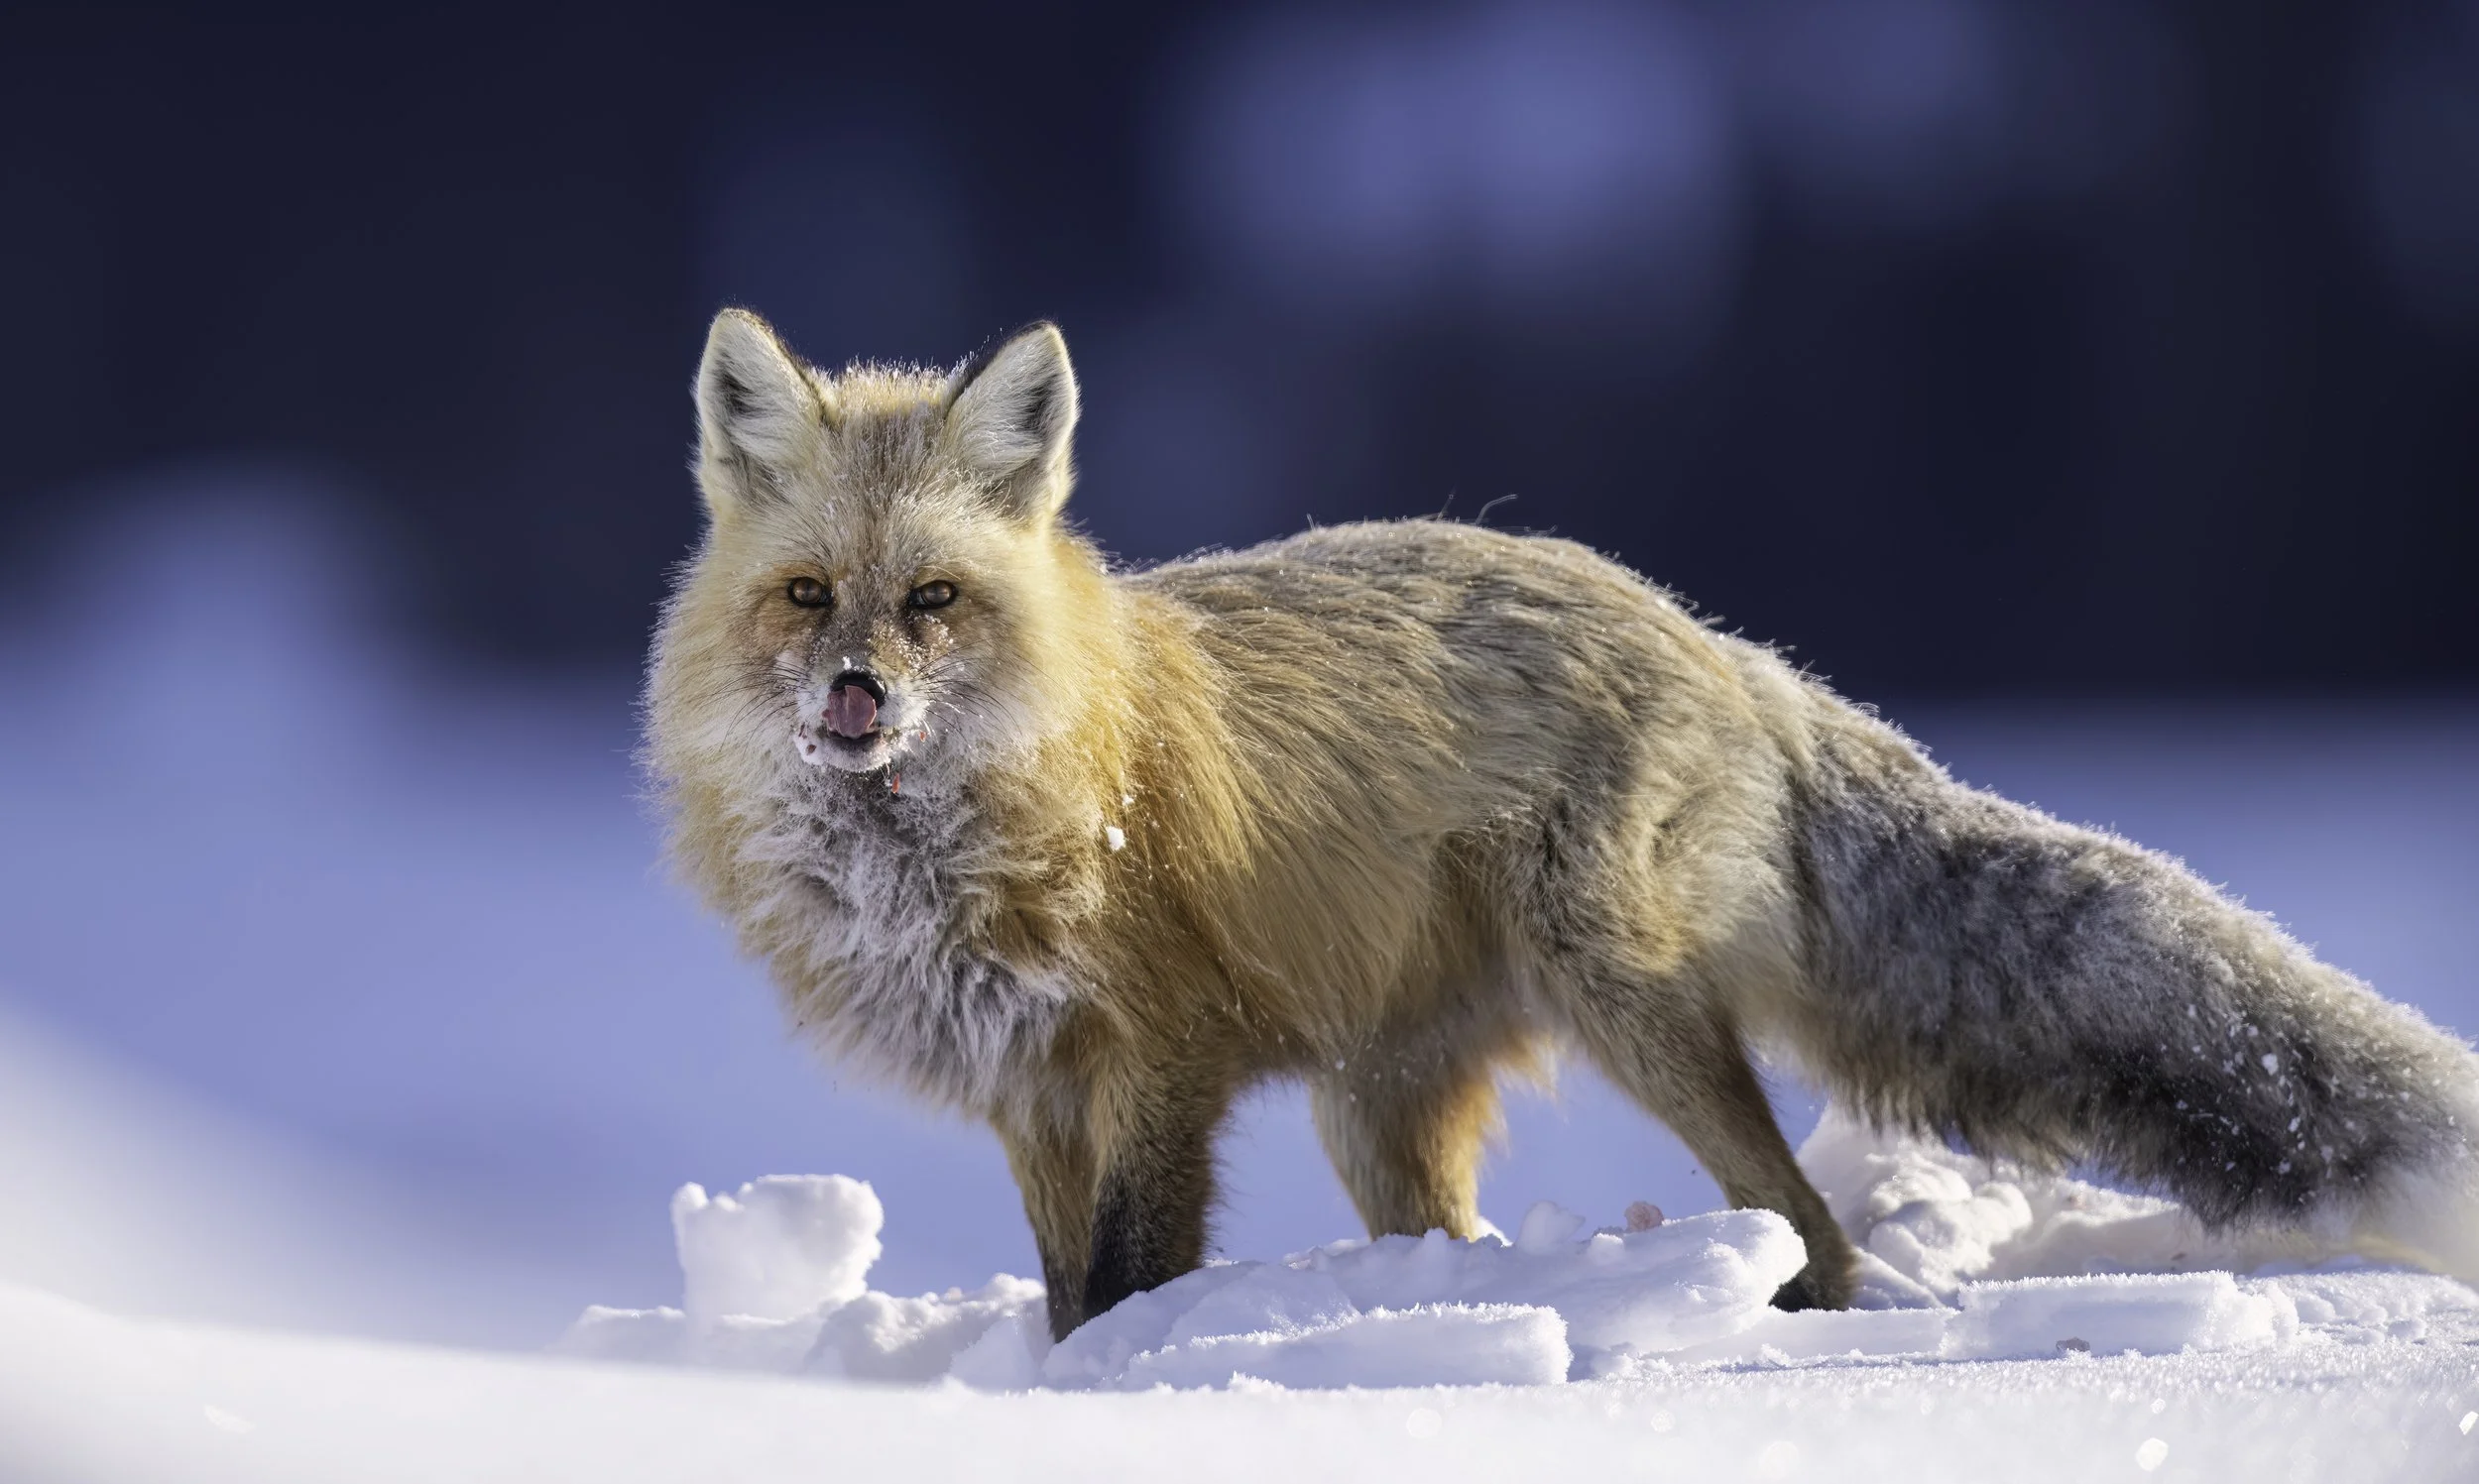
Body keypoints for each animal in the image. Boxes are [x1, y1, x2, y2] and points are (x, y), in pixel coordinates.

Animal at [644, 310, 2479, 1344]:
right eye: (808, 598)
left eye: (933, 602)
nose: (859, 693)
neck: (943, 853)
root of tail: (1719, 638)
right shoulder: (1032, 1091)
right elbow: (1059, 1292)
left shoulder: (1155, 1061)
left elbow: (1124, 1285)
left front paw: (1114, 1390)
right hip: (1380, 1116)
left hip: (1630, 1010)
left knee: (1813, 1226)